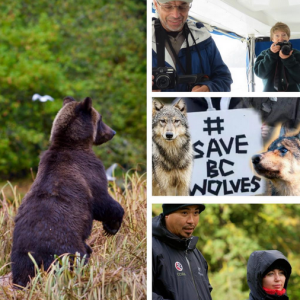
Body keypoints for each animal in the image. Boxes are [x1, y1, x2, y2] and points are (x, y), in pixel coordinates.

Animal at [10, 97, 123, 288]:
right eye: (100, 119)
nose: (112, 132)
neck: (73, 143)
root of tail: (38, 258)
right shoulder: (90, 170)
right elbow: (102, 200)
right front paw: (112, 225)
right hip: (65, 247)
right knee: (77, 259)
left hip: (20, 259)